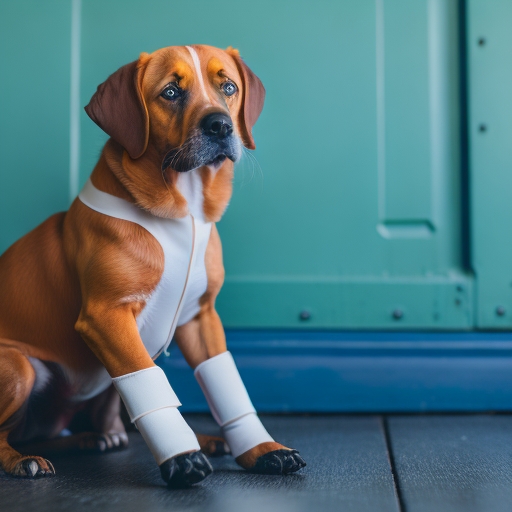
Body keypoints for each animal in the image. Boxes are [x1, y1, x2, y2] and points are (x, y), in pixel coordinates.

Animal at [0, 45, 304, 488]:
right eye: (171, 92)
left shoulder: (201, 318)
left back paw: (102, 438)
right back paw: (23, 459)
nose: (220, 125)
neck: (185, 212)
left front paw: (261, 448)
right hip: (20, 367)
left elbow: (227, 388)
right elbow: (147, 383)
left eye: (228, 86)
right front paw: (181, 457)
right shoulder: (105, 318)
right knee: (9, 435)